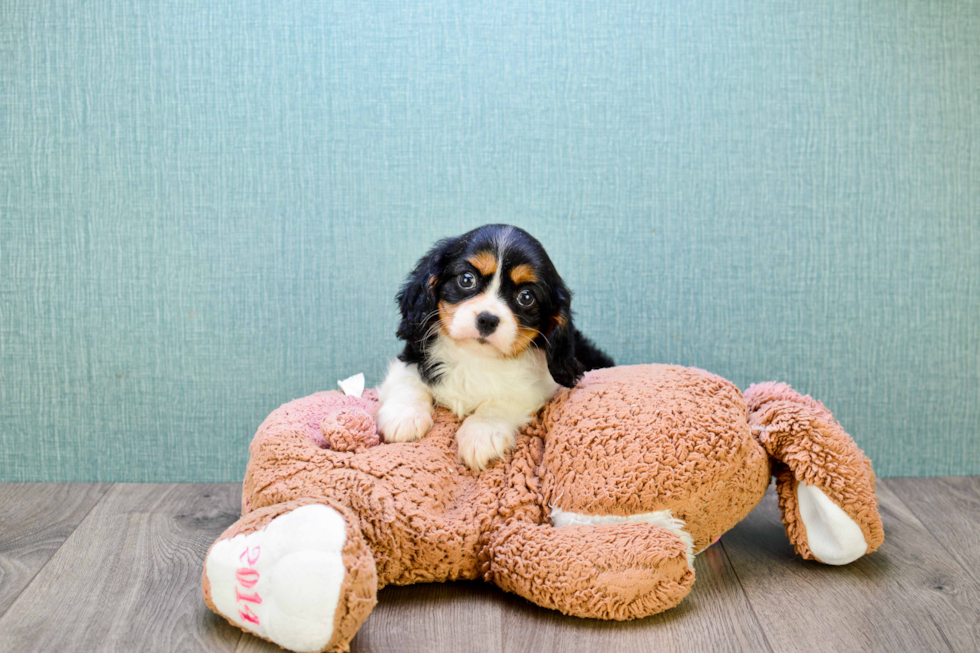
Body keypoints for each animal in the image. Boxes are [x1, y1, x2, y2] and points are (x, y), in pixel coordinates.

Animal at [376, 224, 612, 468]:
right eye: (467, 279)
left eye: (526, 297)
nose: (487, 319)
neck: (475, 357)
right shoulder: (413, 356)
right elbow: (409, 381)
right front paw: (404, 416)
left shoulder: (539, 386)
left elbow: (502, 403)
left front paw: (480, 434)